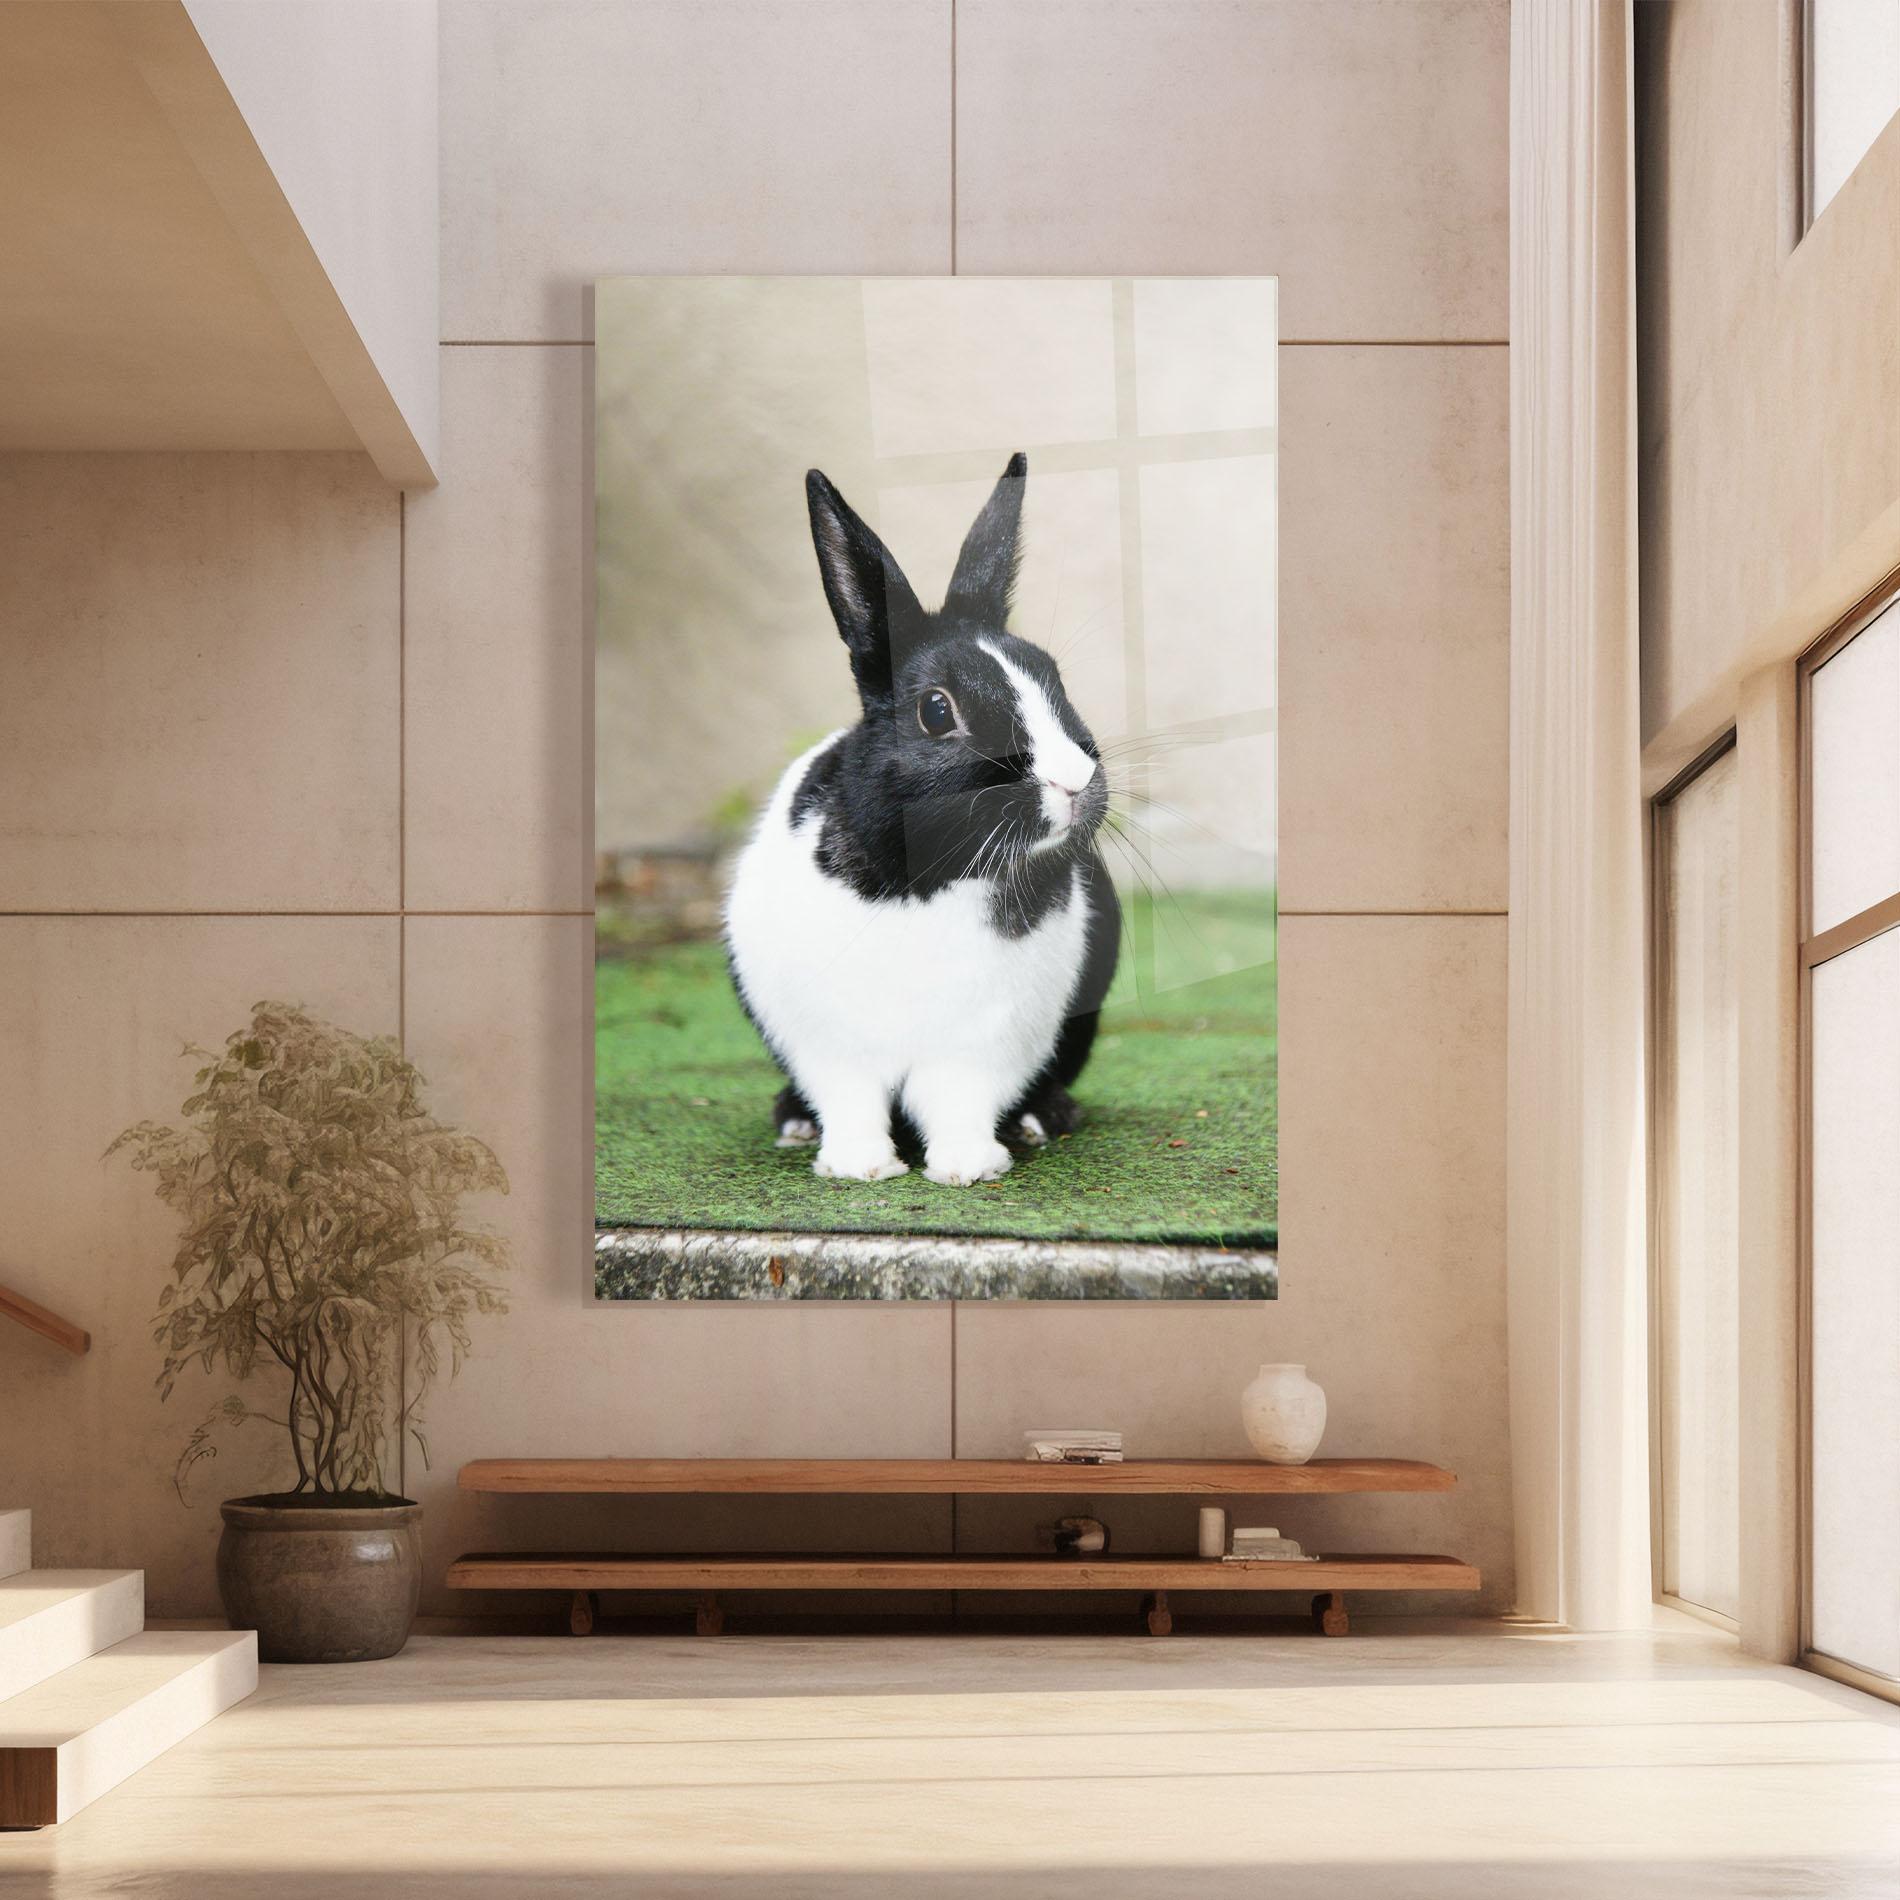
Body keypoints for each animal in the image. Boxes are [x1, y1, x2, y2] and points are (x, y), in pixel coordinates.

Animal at [724, 451, 1121, 1186]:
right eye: (937, 711)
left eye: (1054, 678)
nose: (1075, 781)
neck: (925, 879)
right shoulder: (830, 1046)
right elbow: (850, 1102)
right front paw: (859, 1167)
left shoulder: (983, 1046)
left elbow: (959, 1102)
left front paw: (968, 1168)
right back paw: (794, 1123)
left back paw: (1041, 1119)